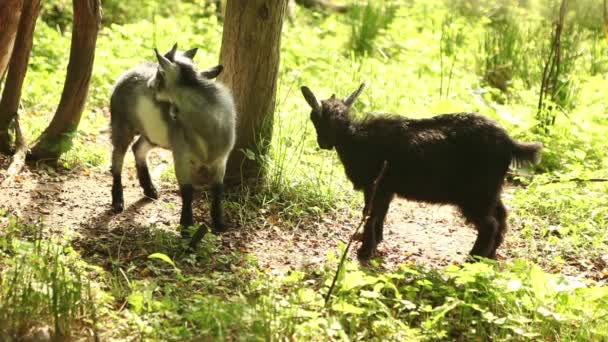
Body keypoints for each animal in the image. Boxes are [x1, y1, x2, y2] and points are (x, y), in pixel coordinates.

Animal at [109, 43, 235, 240]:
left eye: (160, 74)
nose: (149, 85)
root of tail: (127, 73)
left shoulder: (221, 159)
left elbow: (218, 188)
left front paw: (219, 223)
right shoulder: (181, 155)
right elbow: (187, 190)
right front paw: (186, 227)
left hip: (153, 134)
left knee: (138, 148)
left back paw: (150, 190)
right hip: (121, 124)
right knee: (117, 158)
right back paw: (118, 201)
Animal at [300, 84, 540, 260]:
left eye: (313, 117)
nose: (323, 144)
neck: (355, 138)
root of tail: (510, 143)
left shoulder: (375, 184)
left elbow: (370, 214)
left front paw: (365, 251)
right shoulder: (386, 188)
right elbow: (380, 214)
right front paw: (375, 241)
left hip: (475, 194)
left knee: (489, 224)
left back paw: (472, 259)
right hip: (491, 190)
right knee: (501, 215)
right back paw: (489, 255)